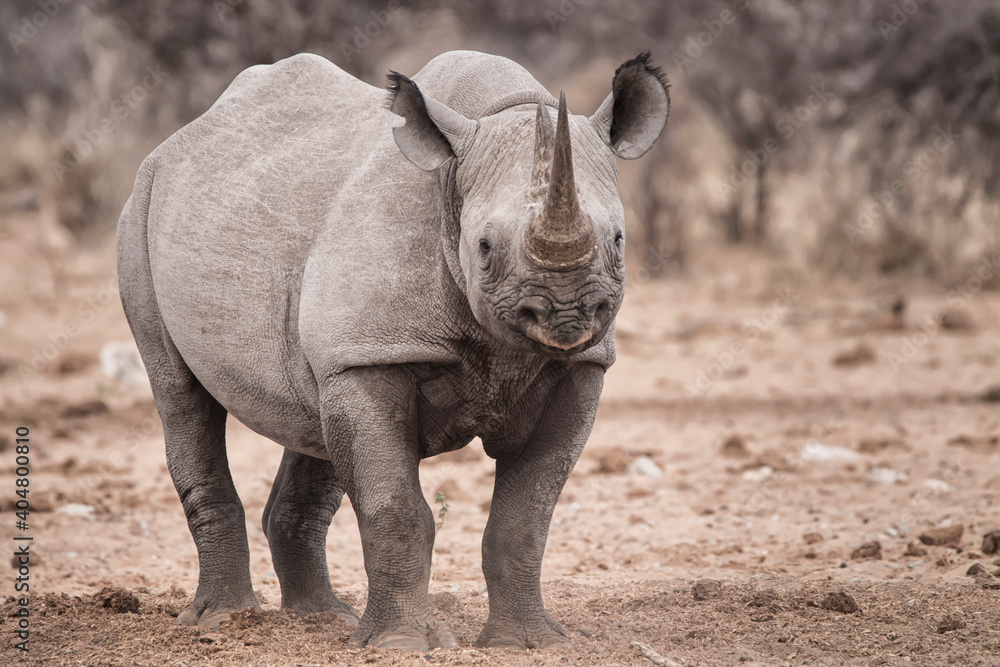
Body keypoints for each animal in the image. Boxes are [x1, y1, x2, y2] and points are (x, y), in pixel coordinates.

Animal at [117, 50, 669, 651]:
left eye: (618, 241)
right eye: (484, 248)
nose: (565, 313)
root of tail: (181, 138)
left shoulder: (579, 367)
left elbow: (527, 513)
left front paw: (531, 642)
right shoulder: (372, 353)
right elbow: (396, 507)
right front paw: (400, 644)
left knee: (314, 411)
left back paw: (322, 618)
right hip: (140, 209)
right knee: (181, 396)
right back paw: (223, 620)